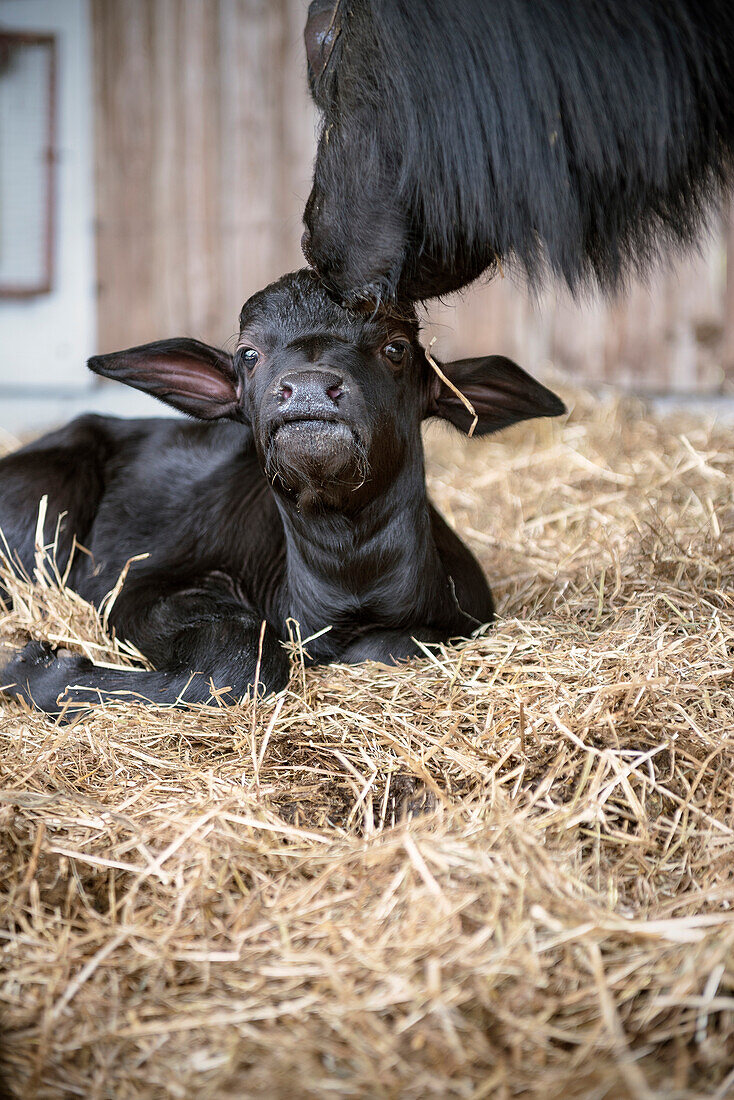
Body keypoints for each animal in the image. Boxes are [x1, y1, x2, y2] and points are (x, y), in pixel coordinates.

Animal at [0, 266, 567, 712]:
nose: (310, 387)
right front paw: (36, 669)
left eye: (396, 347)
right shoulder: (137, 587)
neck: (349, 585)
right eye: (249, 353)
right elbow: (240, 661)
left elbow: (389, 648)